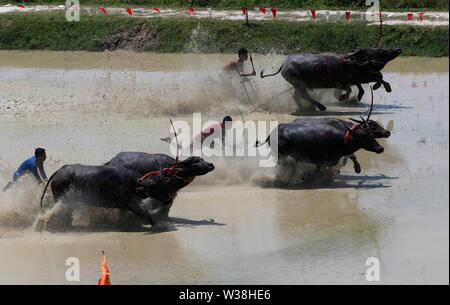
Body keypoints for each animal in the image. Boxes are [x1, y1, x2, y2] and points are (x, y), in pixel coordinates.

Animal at [39, 164, 173, 226]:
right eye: (157, 188)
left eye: (164, 185)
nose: (169, 199)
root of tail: (59, 172)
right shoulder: (130, 203)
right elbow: (145, 213)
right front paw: (156, 224)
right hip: (60, 199)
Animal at [260, 46, 400, 110]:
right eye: (382, 51)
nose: (398, 49)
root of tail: (284, 64)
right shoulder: (341, 83)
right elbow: (353, 89)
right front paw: (344, 97)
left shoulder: (356, 79)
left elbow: (379, 79)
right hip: (299, 83)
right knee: (304, 95)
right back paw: (321, 107)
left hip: (298, 85)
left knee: (296, 95)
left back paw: (302, 106)